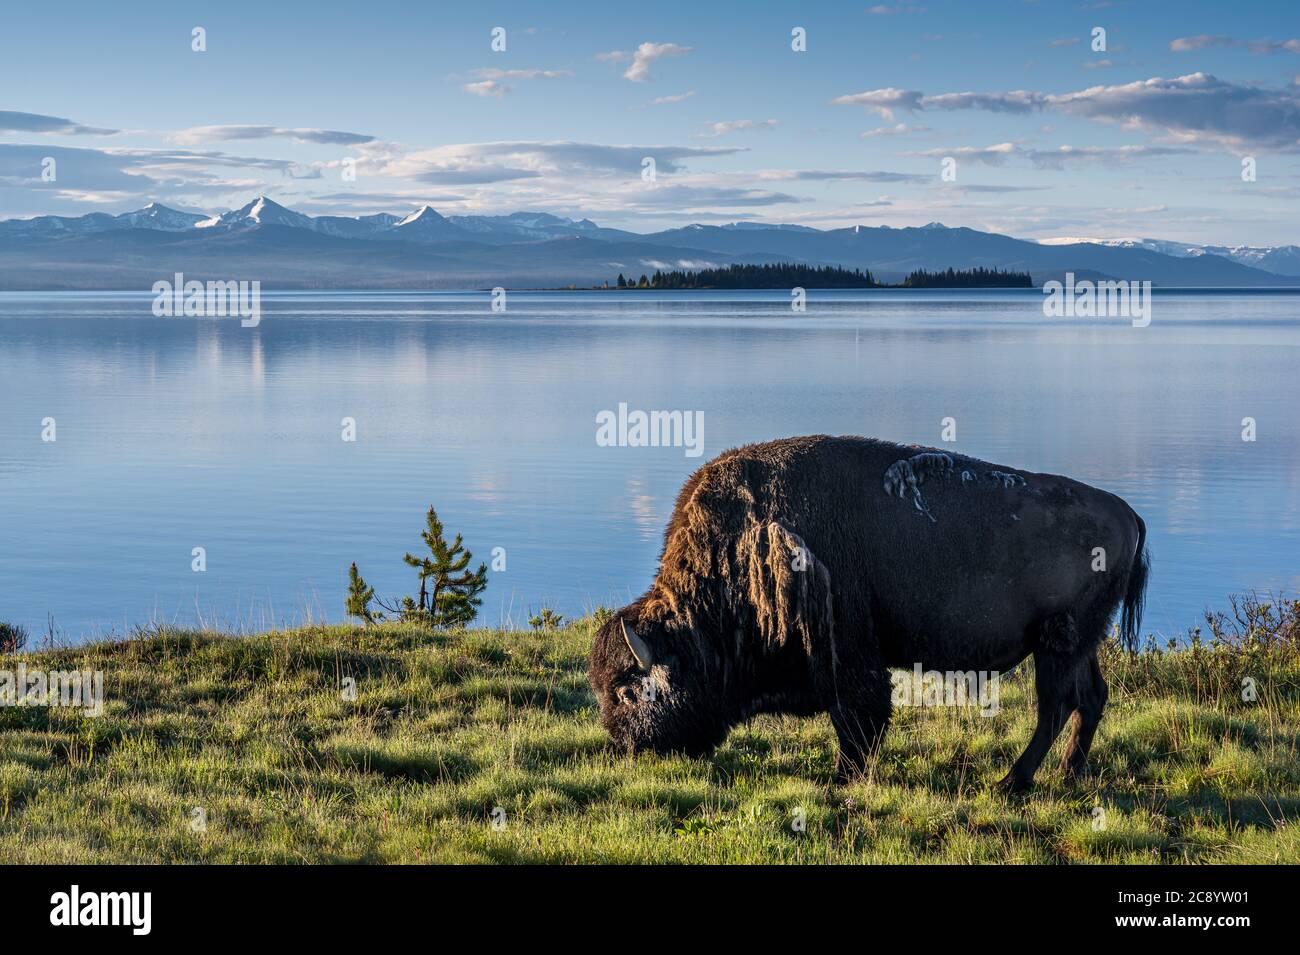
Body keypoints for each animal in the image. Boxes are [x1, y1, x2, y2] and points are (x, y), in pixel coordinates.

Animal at [590, 433, 1149, 789]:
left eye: (627, 691)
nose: (627, 748)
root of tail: (1127, 512)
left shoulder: (844, 651)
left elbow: (857, 715)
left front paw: (844, 778)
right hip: (1081, 643)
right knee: (1090, 698)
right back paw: (1068, 774)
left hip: (1057, 645)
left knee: (1054, 706)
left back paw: (1012, 782)